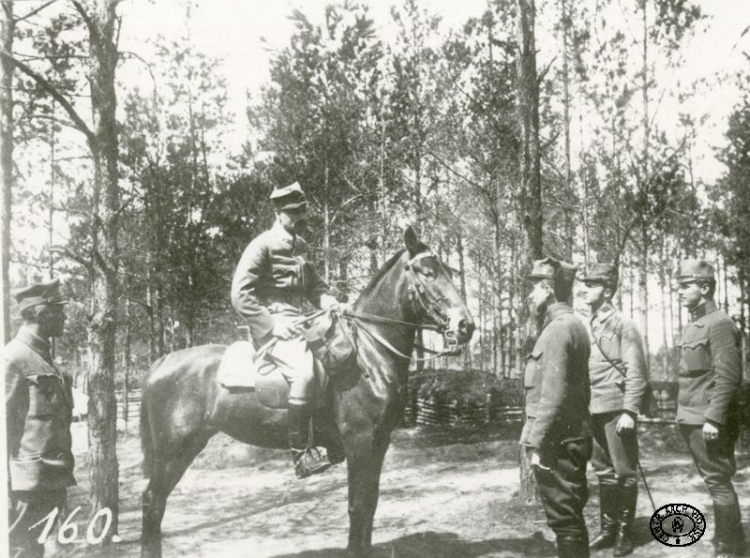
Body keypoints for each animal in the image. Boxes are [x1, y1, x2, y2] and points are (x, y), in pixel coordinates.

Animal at [141, 229, 476, 558]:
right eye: (427, 272)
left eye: (449, 271)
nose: (466, 326)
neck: (370, 352)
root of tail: (162, 362)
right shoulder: (359, 440)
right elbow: (358, 506)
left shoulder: (380, 441)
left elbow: (370, 505)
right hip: (174, 451)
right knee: (153, 501)